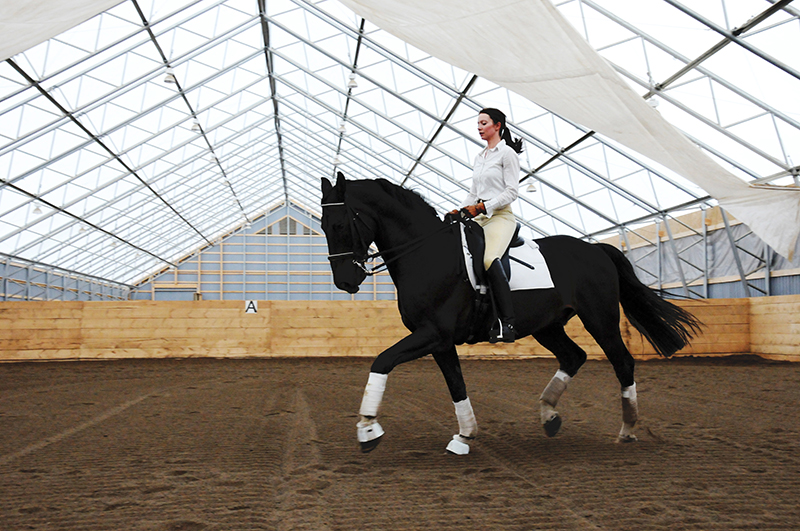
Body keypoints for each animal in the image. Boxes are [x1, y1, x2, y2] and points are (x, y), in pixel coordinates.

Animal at [320, 172, 700, 454]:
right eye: (323, 227)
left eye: (339, 225)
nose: (345, 281)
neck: (426, 253)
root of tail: (595, 248)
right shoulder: (439, 340)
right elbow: (456, 385)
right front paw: (465, 436)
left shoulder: (433, 334)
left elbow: (382, 361)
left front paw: (368, 429)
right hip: (548, 326)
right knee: (573, 356)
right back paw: (549, 416)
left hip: (600, 319)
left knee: (622, 362)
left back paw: (626, 429)